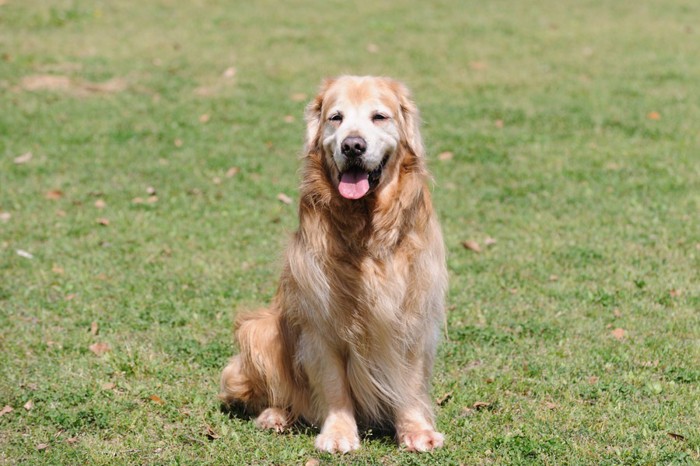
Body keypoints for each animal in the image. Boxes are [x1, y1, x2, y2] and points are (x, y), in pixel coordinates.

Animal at [220, 75, 448, 452]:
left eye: (379, 117)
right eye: (336, 118)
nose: (353, 146)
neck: (366, 228)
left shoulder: (413, 311)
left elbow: (410, 381)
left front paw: (416, 430)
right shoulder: (320, 323)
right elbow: (333, 384)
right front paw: (339, 433)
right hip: (260, 330)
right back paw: (276, 415)